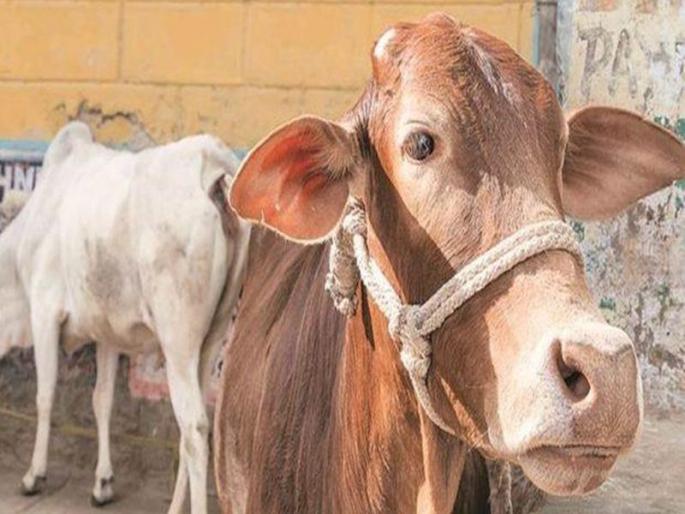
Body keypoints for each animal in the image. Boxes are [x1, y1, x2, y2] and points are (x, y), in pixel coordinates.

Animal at [0, 122, 251, 514]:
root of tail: (207, 157)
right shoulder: (107, 333)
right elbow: (102, 400)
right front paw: (102, 483)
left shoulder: (43, 312)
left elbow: (45, 395)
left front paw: (33, 476)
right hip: (214, 335)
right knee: (194, 424)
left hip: (178, 340)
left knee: (194, 427)